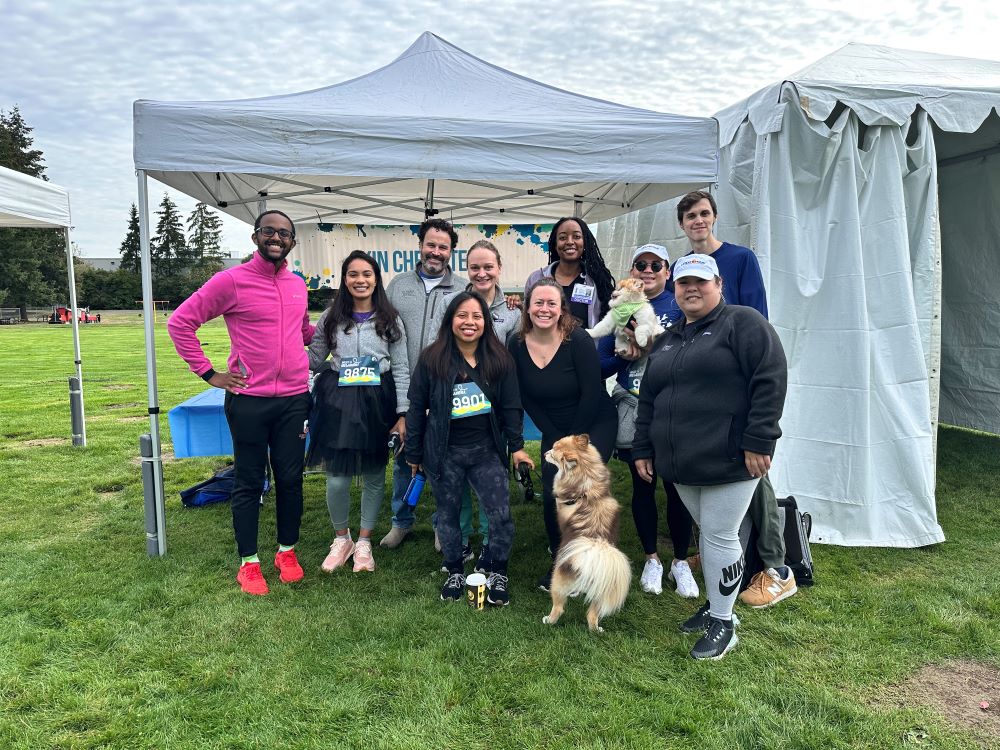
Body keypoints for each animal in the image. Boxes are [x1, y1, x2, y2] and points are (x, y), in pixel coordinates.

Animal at [544, 434, 628, 636]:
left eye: (553, 451)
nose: (545, 453)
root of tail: (594, 549)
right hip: (600, 590)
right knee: (591, 614)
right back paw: (595, 629)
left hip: (557, 584)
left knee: (559, 607)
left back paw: (549, 620)